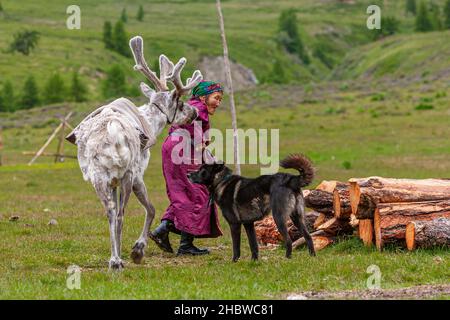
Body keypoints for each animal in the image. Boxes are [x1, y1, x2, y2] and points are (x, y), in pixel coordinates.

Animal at [186, 154, 316, 262]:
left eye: (202, 170)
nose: (187, 174)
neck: (222, 181)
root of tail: (291, 179)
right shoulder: (248, 224)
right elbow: (253, 244)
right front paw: (254, 261)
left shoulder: (234, 224)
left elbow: (236, 246)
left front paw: (234, 261)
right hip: (297, 217)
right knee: (308, 237)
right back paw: (312, 257)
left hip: (278, 217)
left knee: (288, 240)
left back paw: (287, 259)